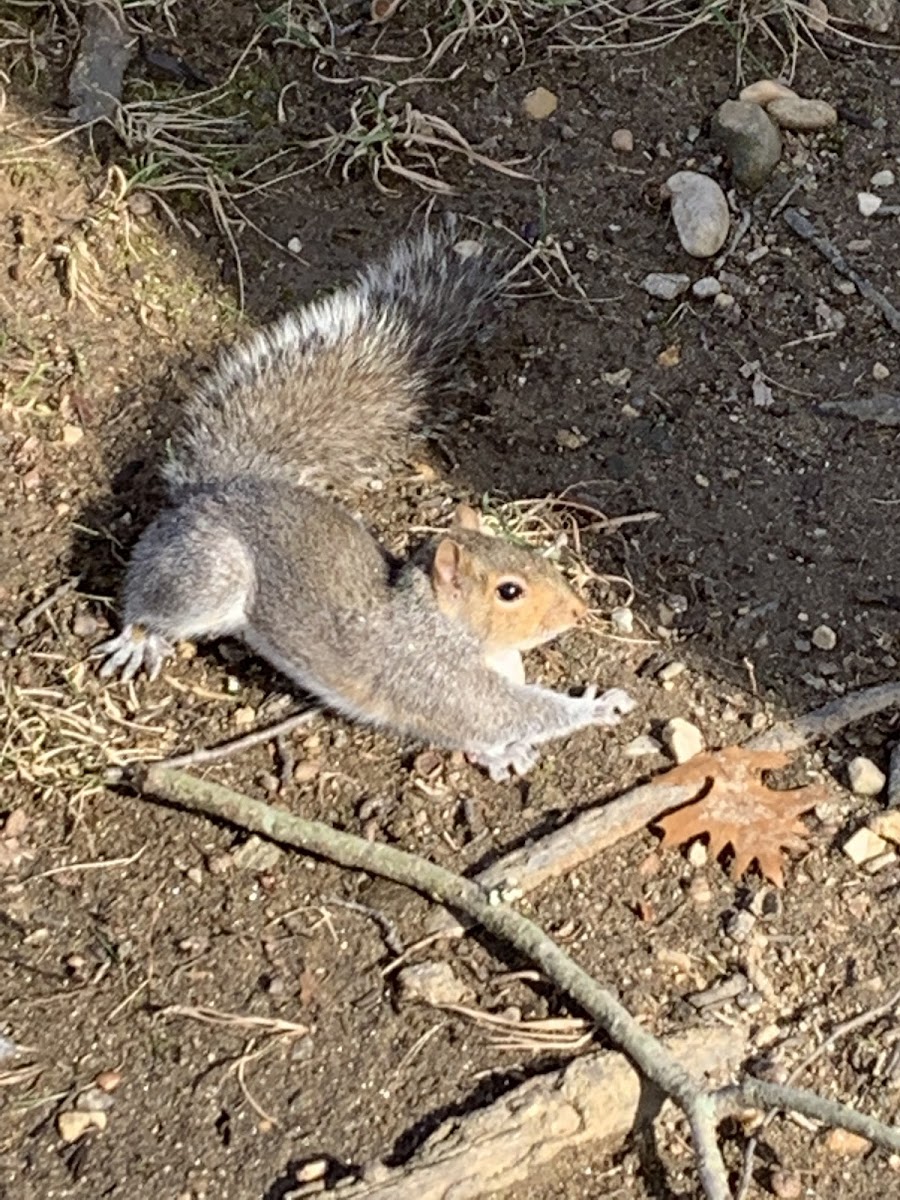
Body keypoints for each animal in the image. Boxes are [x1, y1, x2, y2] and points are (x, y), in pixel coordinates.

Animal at [97, 223, 633, 787]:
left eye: (527, 553)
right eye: (510, 591)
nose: (578, 610)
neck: (446, 625)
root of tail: (215, 489)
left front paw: (509, 751)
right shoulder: (440, 678)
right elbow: (513, 712)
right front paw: (599, 705)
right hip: (208, 573)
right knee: (149, 600)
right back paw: (139, 638)